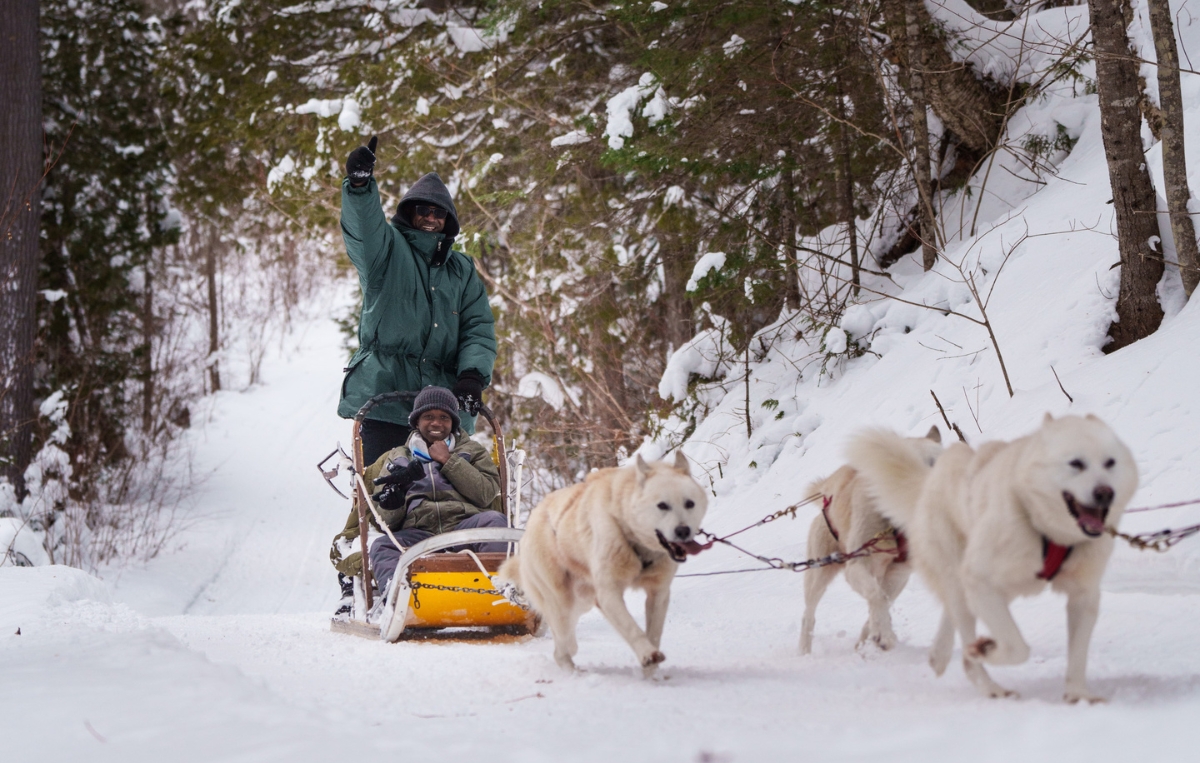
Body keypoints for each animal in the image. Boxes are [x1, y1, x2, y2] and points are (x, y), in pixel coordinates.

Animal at [494, 453, 700, 671]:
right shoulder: (608, 593)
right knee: (563, 644)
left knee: (566, 641)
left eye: (690, 503)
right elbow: (631, 628)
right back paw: (573, 671)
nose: (683, 531)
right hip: (562, 601)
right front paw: (648, 655)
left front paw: (650, 668)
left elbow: (653, 633)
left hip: (580, 600)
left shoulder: (658, 592)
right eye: (662, 505)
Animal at [801, 427, 940, 652]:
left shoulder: (898, 574)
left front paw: (870, 639)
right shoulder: (857, 565)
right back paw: (804, 651)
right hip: (819, 573)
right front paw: (884, 633)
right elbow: (877, 596)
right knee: (809, 616)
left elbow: (882, 602)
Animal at [849, 415, 1137, 700]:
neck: (1049, 533)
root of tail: (928, 484)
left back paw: (939, 656)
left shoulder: (1083, 596)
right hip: (965, 578)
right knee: (965, 642)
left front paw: (1079, 694)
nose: (1105, 492)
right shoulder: (980, 581)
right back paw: (990, 686)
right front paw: (986, 650)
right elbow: (1017, 648)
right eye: (1076, 463)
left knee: (952, 613)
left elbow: (1078, 653)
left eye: (1110, 462)